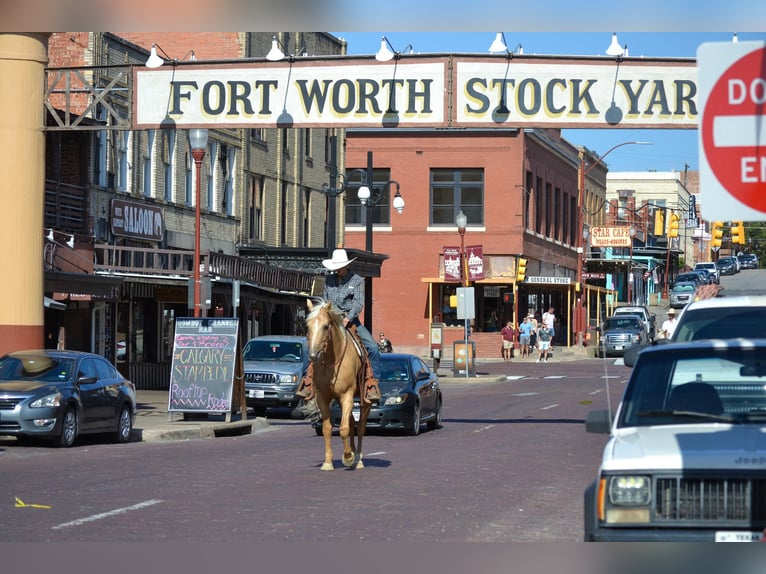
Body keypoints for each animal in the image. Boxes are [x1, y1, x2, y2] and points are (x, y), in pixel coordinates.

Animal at [306, 296, 372, 472]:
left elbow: (344, 429)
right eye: (308, 326)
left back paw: (358, 458)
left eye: (325, 326)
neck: (331, 363)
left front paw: (348, 457)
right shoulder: (322, 397)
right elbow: (327, 428)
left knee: (360, 426)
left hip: (364, 401)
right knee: (351, 421)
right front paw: (328, 462)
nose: (313, 355)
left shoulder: (347, 395)